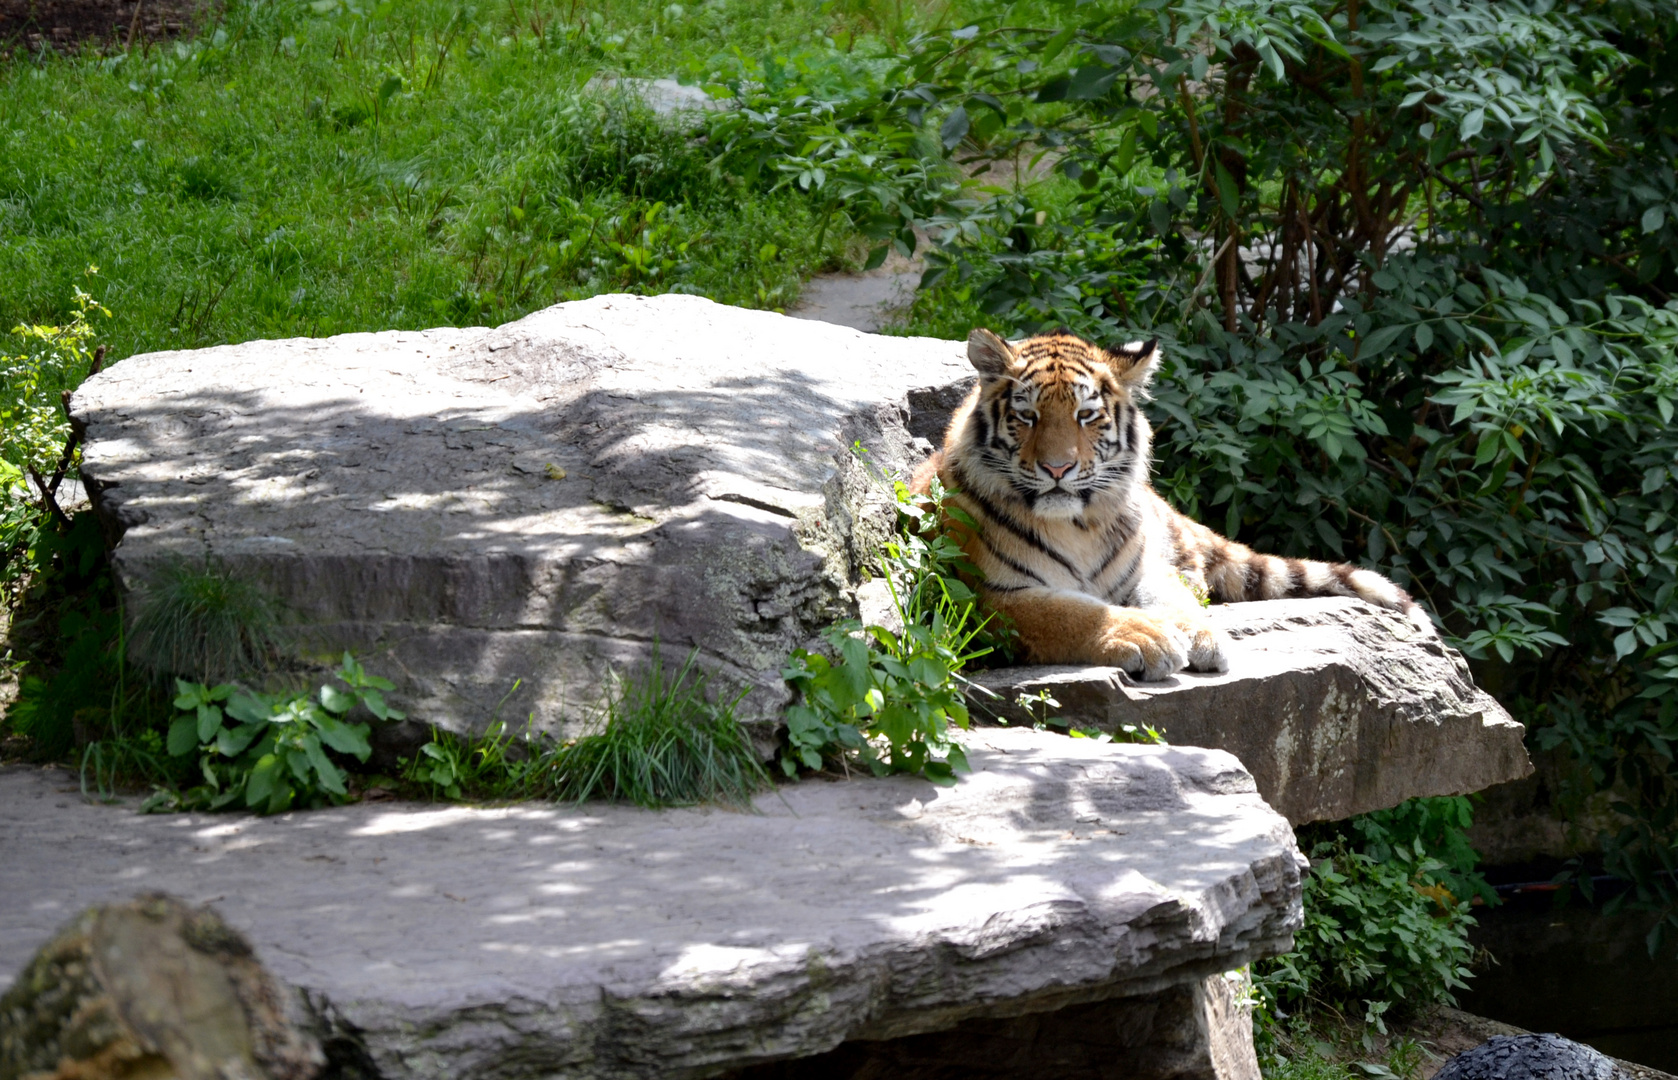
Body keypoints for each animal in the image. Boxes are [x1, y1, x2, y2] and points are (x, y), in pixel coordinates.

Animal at [912, 330, 1436, 684]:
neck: (1077, 524)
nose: (1058, 468)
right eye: (1027, 416)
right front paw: (1149, 637)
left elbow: (1171, 596)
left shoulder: (1142, 569)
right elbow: (1070, 612)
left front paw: (1202, 635)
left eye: (1086, 415)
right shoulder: (986, 596)